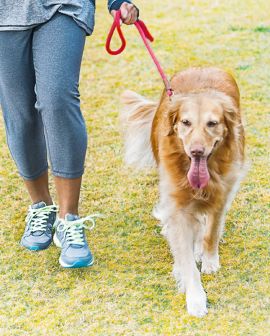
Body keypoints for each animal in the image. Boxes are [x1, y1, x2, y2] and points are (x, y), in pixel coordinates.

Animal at [119, 67, 246, 316]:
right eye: (186, 122)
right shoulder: (176, 206)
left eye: (212, 123)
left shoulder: (221, 195)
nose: (196, 151)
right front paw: (195, 297)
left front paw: (209, 260)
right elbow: (186, 256)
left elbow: (211, 232)